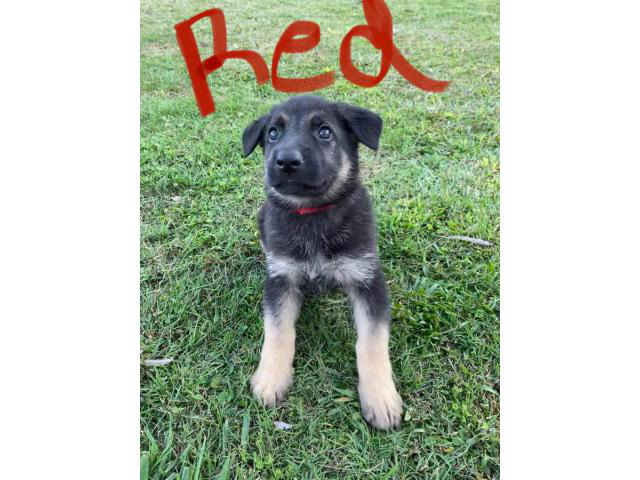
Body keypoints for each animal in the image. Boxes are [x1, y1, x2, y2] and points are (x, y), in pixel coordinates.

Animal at [242, 95, 402, 430]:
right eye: (273, 134)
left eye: (325, 132)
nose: (286, 161)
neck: (313, 214)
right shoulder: (281, 279)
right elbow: (278, 331)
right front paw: (271, 378)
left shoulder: (368, 279)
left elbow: (372, 341)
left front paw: (380, 397)